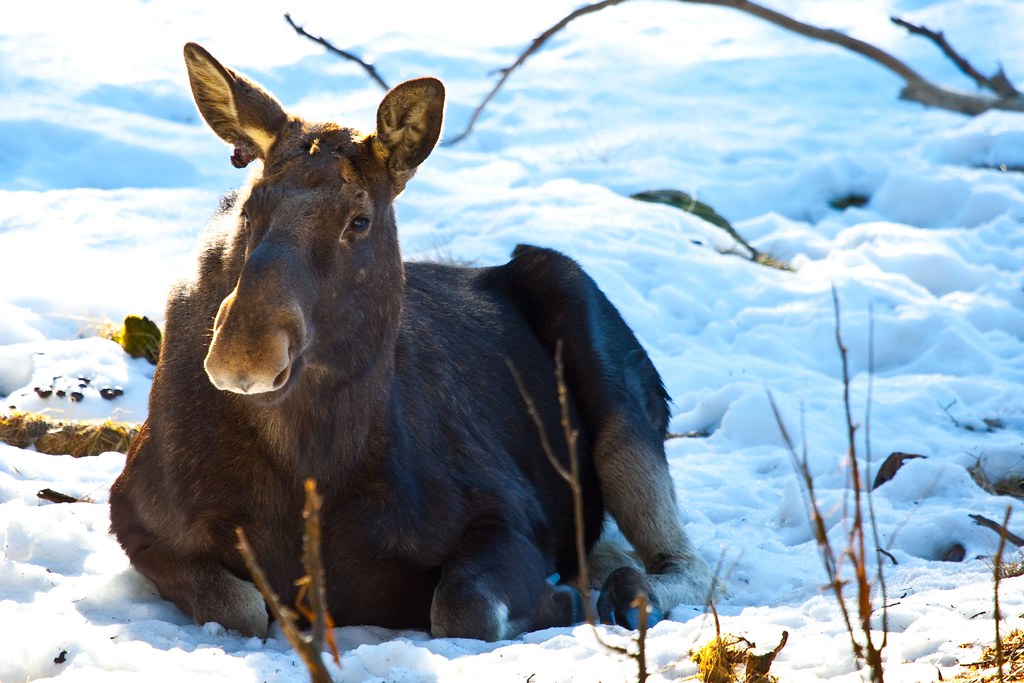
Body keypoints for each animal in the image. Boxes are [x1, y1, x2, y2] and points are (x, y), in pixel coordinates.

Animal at [108, 42, 712, 642]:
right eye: (248, 208)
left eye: (360, 219)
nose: (244, 352)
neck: (310, 464)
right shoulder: (136, 517)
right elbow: (242, 606)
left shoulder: (512, 511)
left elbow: (464, 606)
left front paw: (563, 599)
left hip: (611, 379)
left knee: (685, 561)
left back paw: (626, 592)